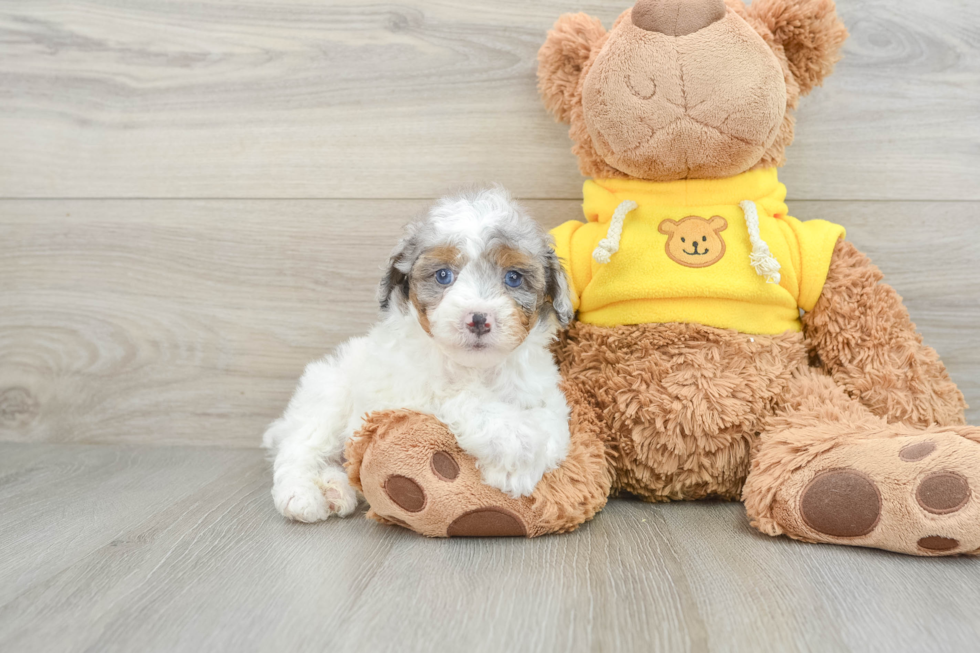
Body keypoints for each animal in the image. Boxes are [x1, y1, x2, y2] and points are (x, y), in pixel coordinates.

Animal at [264, 186, 580, 524]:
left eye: (513, 278)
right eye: (443, 276)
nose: (478, 319)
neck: (478, 369)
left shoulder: (542, 390)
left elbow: (552, 426)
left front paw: (518, 469)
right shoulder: (406, 397)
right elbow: (462, 399)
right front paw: (514, 445)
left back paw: (335, 489)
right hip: (326, 397)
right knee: (300, 448)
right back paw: (302, 494)